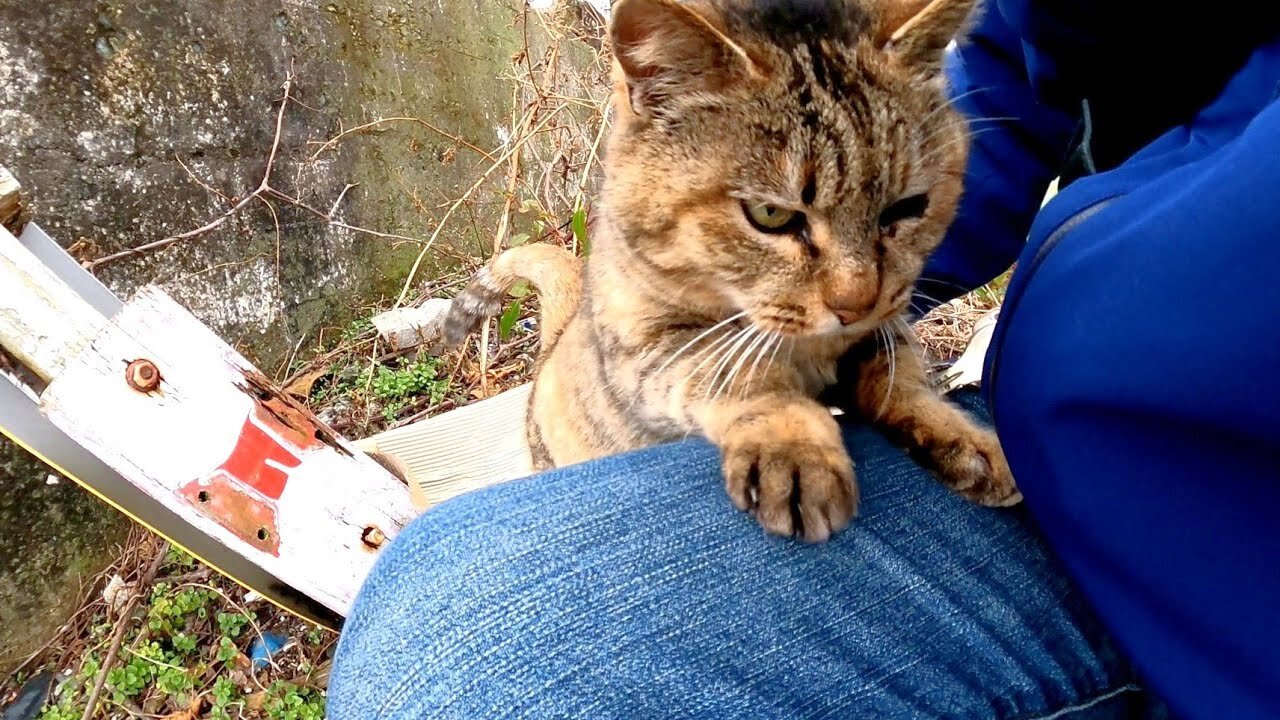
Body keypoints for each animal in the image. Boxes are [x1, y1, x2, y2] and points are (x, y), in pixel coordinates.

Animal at [445, 0, 1024, 540]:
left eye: (907, 208)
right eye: (770, 215)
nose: (854, 304)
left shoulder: (884, 322)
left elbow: (898, 378)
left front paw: (966, 439)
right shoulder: (648, 350)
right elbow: (744, 374)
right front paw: (795, 447)